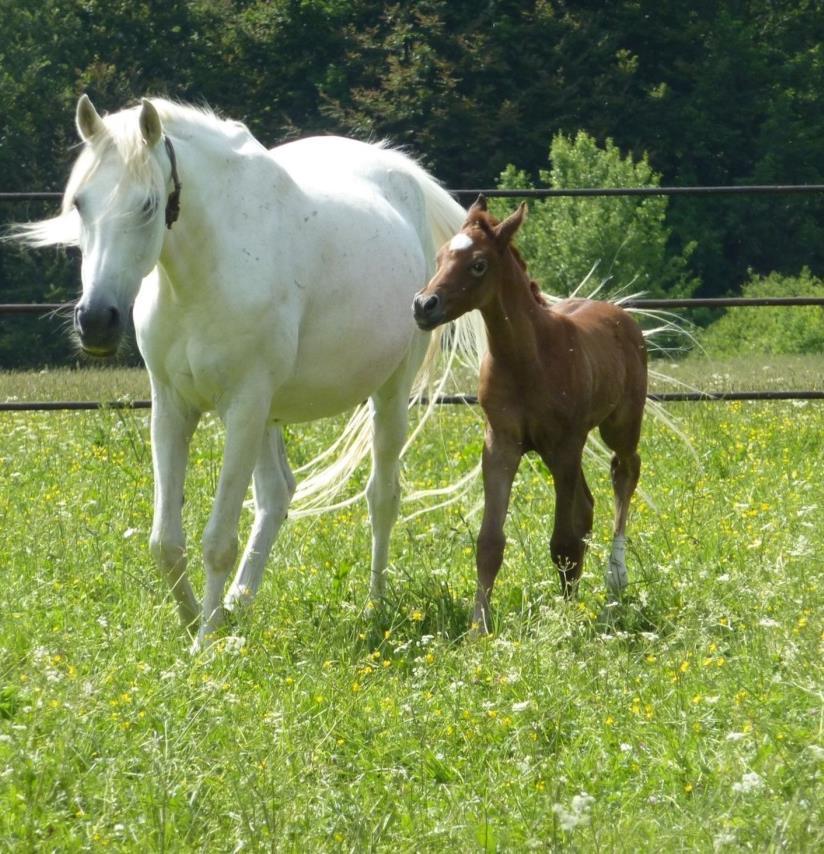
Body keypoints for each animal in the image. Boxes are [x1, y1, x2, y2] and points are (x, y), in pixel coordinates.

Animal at [20, 95, 482, 648]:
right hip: (270, 414)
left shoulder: (242, 407)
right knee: (277, 495)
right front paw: (196, 623)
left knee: (382, 496)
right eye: (78, 203)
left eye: (148, 204)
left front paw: (203, 646)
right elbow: (164, 542)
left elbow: (217, 539)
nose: (95, 321)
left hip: (385, 394)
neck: (204, 272)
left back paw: (374, 606)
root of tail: (401, 173)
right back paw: (239, 605)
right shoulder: (172, 409)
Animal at [412, 197, 652, 632]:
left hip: (619, 425)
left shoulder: (565, 444)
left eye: (478, 264)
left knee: (625, 472)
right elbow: (490, 541)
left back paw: (615, 580)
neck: (528, 358)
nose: (424, 305)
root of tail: (620, 314)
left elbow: (564, 541)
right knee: (587, 506)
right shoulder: (501, 445)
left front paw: (567, 621)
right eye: (440, 257)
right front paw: (479, 626)